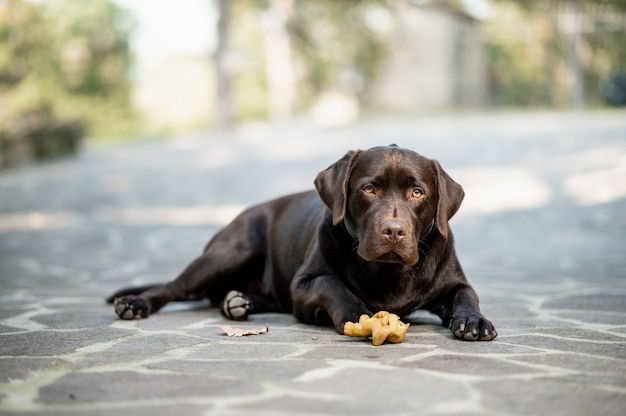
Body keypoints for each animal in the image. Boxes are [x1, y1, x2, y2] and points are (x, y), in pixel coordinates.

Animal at [108, 146, 498, 342]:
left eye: (418, 192)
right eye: (369, 188)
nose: (393, 230)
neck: (387, 274)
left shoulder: (453, 281)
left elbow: (467, 295)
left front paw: (474, 321)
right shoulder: (304, 284)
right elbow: (332, 285)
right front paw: (358, 313)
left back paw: (238, 301)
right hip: (229, 252)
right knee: (174, 286)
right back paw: (136, 303)